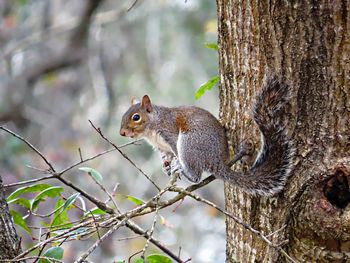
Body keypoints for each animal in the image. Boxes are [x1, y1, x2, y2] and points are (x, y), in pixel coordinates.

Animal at [119, 75, 294, 197]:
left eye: (136, 117)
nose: (122, 133)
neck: (151, 129)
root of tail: (217, 162)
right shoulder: (161, 148)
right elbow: (166, 156)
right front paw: (166, 166)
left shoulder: (170, 133)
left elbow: (174, 149)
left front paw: (175, 164)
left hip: (190, 143)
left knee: (196, 176)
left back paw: (184, 169)